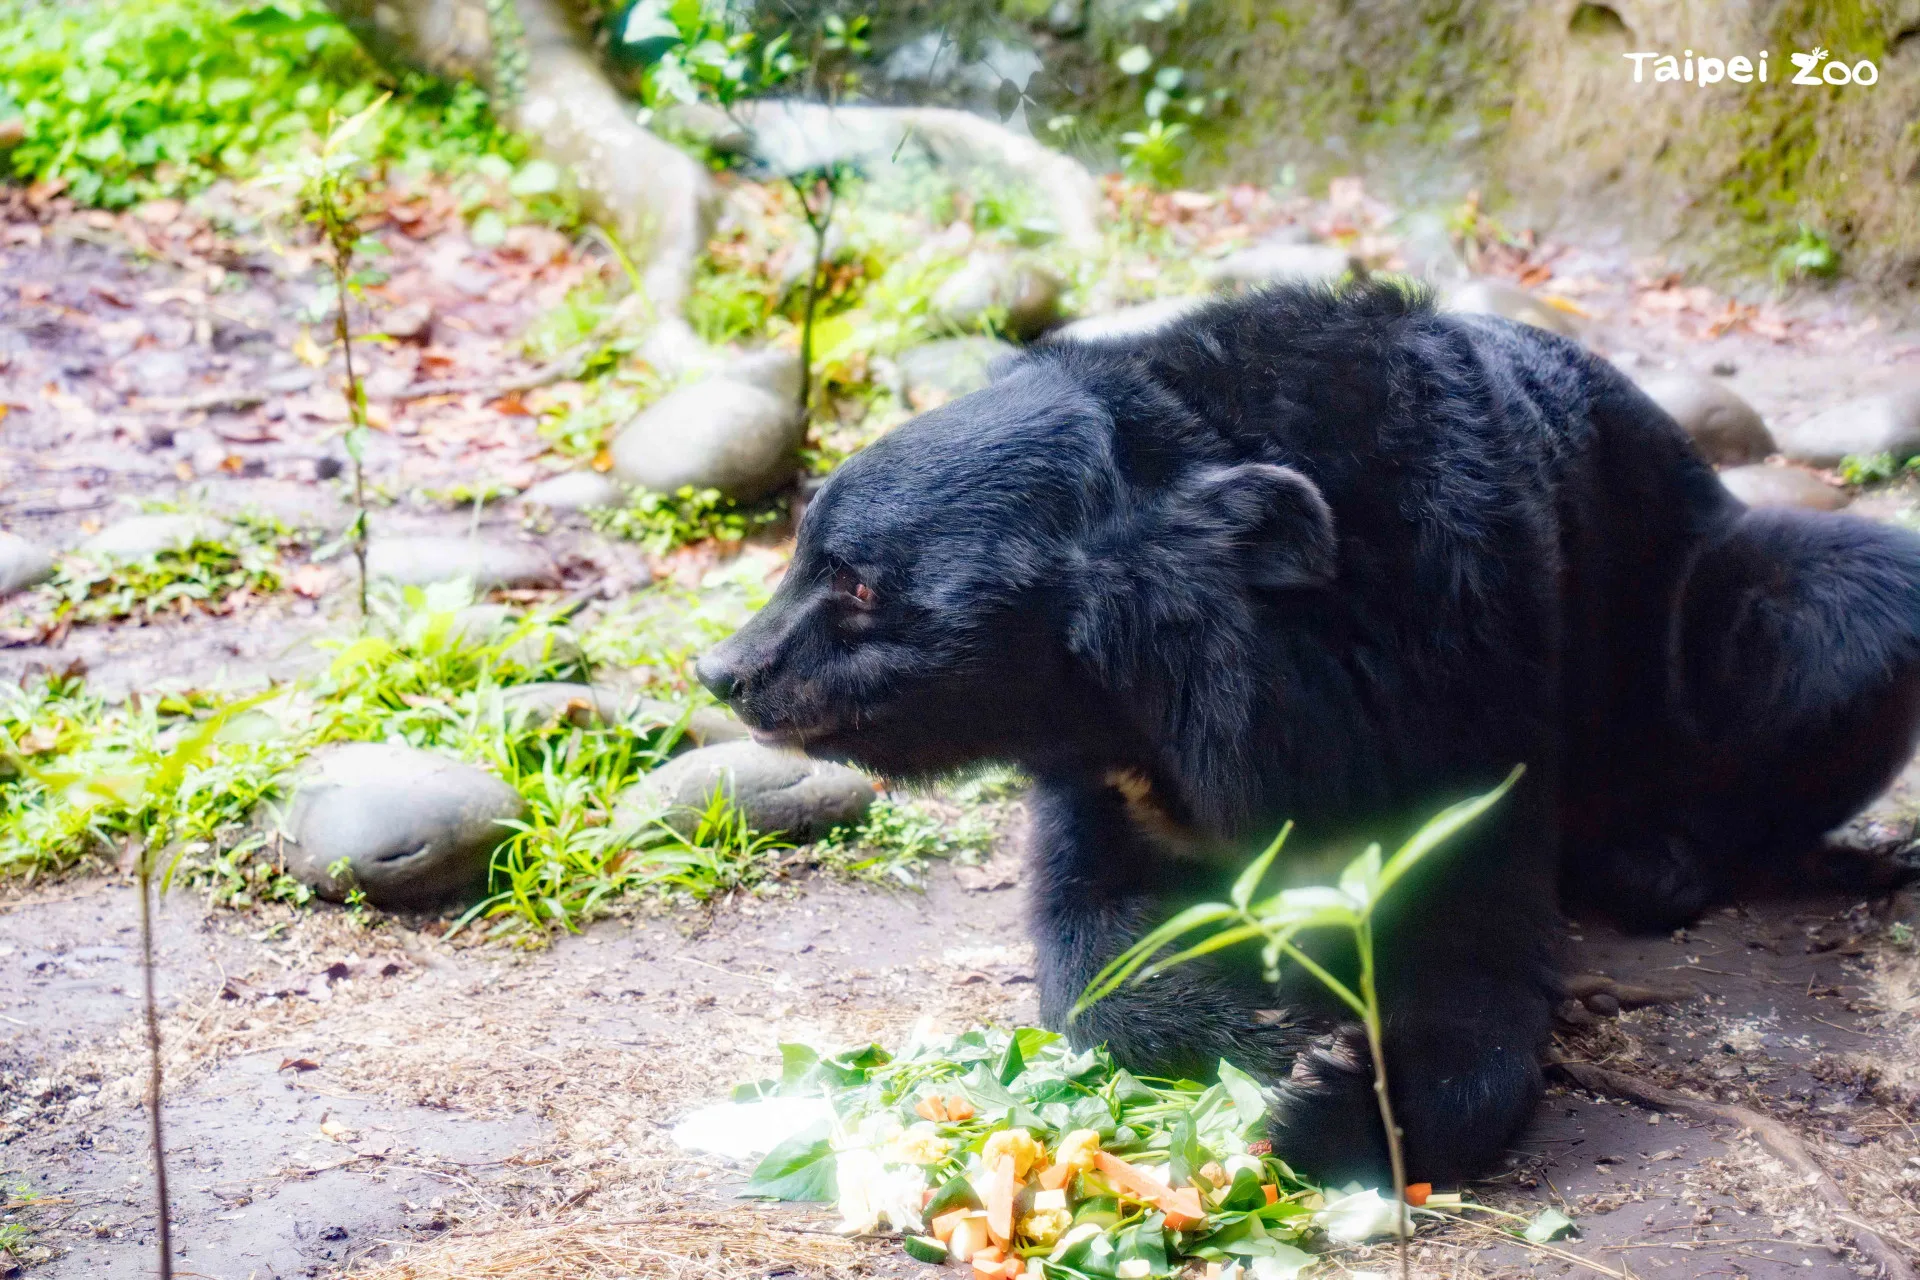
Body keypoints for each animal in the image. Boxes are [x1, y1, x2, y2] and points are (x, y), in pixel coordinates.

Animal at [695, 282, 1920, 1184]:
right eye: (805, 553)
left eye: (858, 584)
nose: (727, 672)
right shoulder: (1102, 759)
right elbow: (1089, 938)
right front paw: (1270, 1025)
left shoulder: (1472, 657)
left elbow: (1472, 943)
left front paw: (1323, 1086)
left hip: (1698, 620)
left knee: (1848, 604)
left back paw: (1656, 863)